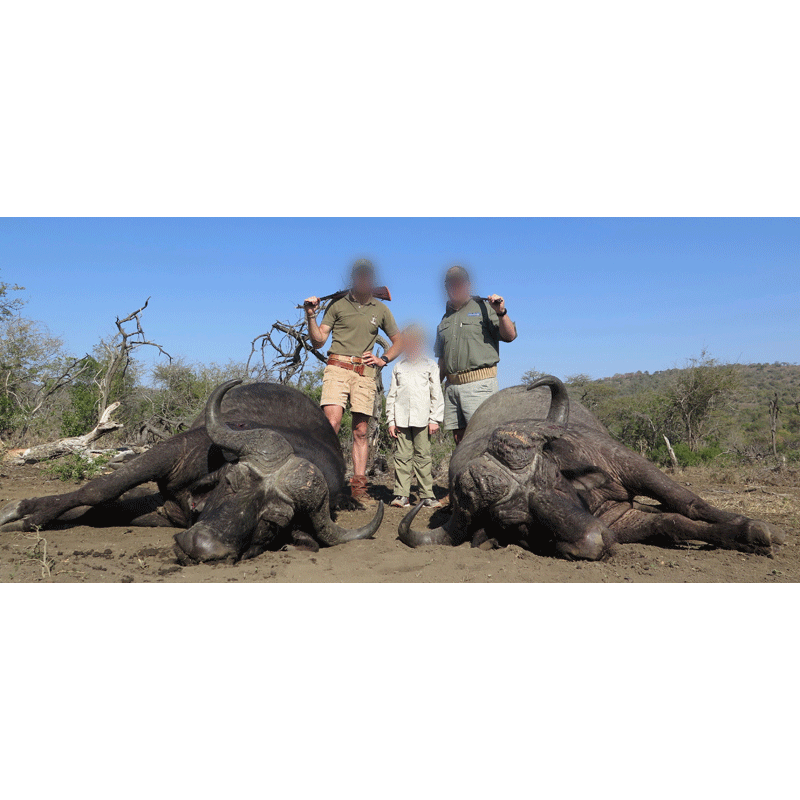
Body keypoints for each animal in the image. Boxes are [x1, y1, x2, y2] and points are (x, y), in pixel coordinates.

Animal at [0, 382, 384, 564]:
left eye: (273, 521)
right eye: (232, 482)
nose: (201, 547)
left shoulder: (163, 513)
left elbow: (100, 511)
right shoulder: (171, 453)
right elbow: (99, 490)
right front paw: (22, 512)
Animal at [396, 378, 784, 560]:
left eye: (552, 478)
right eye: (517, 522)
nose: (595, 541)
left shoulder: (629, 464)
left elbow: (686, 501)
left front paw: (756, 529)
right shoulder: (619, 520)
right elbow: (670, 524)